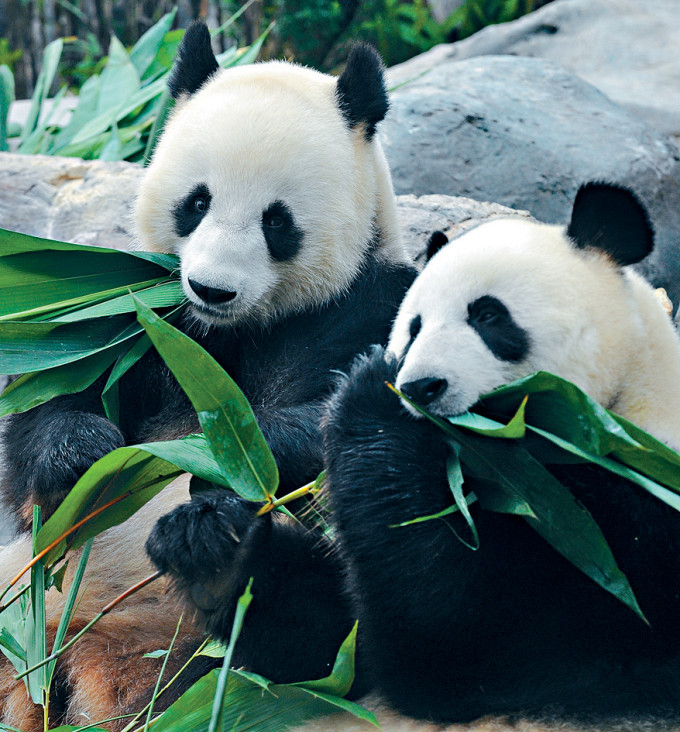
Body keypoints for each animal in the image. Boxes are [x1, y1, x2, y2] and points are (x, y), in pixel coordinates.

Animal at [0, 21, 414, 728]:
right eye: (196, 202)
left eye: (277, 220)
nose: (213, 288)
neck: (242, 329)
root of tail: (97, 669)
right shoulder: (147, 319)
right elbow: (49, 408)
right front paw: (84, 450)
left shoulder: (370, 305)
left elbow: (359, 421)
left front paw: (230, 450)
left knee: (330, 620)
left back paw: (219, 555)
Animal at [146, 179, 680, 732]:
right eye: (414, 325)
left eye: (488, 316)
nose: (419, 386)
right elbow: (338, 648)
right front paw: (211, 541)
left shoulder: (631, 526)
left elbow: (464, 644)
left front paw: (370, 395)